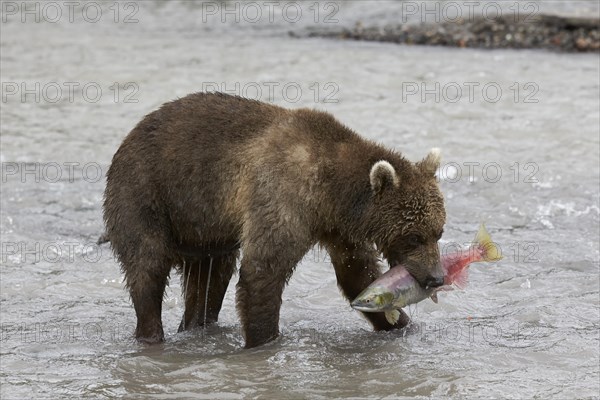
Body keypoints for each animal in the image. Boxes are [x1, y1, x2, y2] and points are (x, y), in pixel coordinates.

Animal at [104, 92, 446, 348]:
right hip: (146, 193)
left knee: (210, 278)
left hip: (205, 231)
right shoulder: (282, 195)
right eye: (413, 235)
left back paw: (198, 325)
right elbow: (264, 268)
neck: (330, 192)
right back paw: (151, 334)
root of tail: (130, 134)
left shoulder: (337, 226)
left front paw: (400, 324)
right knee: (147, 266)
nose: (437, 277)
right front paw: (263, 340)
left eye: (438, 232)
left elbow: (357, 271)